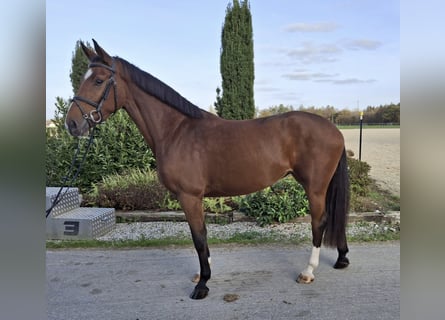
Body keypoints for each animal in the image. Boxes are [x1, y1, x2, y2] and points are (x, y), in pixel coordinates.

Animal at [66, 40, 350, 300]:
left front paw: (202, 284)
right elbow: (201, 235)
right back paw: (342, 258)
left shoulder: (189, 196)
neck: (176, 131)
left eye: (99, 80)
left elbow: (199, 238)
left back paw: (308, 271)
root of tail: (334, 130)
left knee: (319, 222)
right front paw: (203, 273)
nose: (72, 124)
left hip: (314, 187)